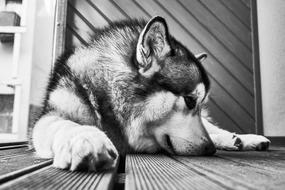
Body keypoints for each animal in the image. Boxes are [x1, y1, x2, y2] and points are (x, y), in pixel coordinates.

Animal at [32, 16, 270, 171]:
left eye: (200, 103)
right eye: (190, 100)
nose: (210, 149)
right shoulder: (52, 113)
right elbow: (63, 123)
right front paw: (85, 138)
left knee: (213, 128)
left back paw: (242, 139)